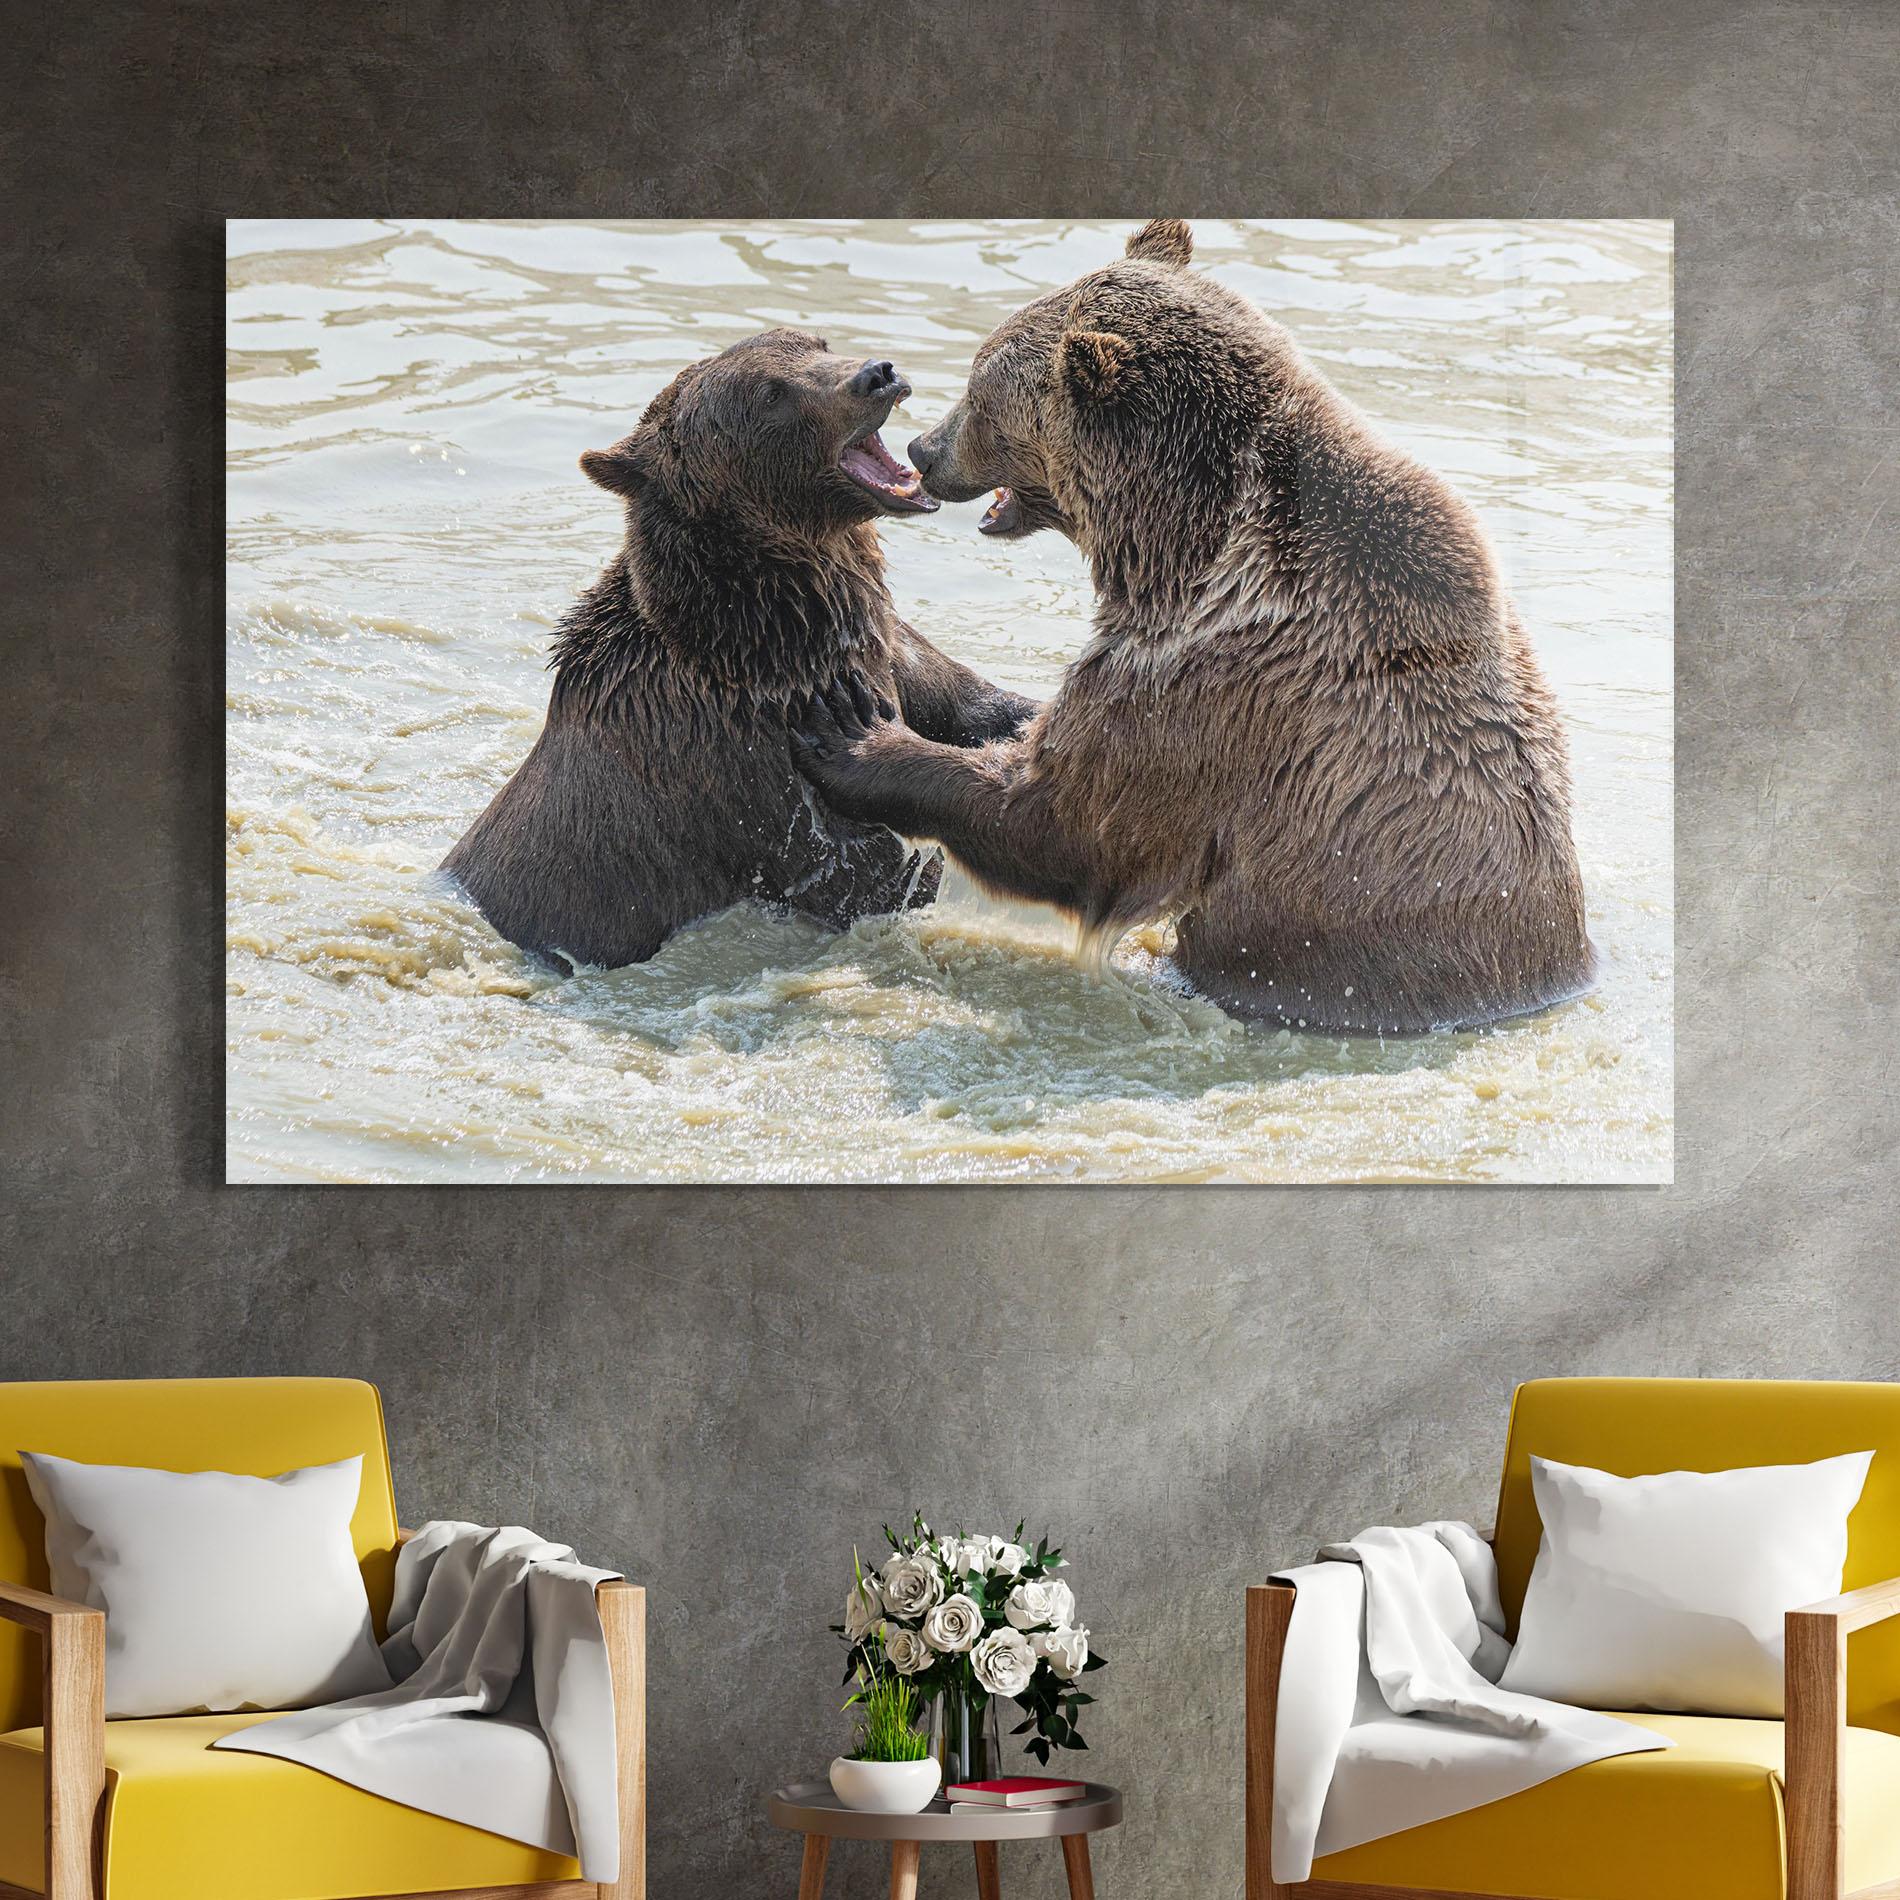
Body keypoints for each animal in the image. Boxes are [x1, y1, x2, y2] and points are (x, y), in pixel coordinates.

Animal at [440, 328, 1035, 971]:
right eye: (771, 395)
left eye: (816, 342)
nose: (877, 374)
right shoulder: (748, 767)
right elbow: (868, 870)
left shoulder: (887, 648)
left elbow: (975, 704)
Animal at [790, 220, 1595, 1036]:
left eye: (981, 393)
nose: (924, 449)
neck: (1181, 548)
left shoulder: (1212, 683)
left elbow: (1067, 819)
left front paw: (855, 735)